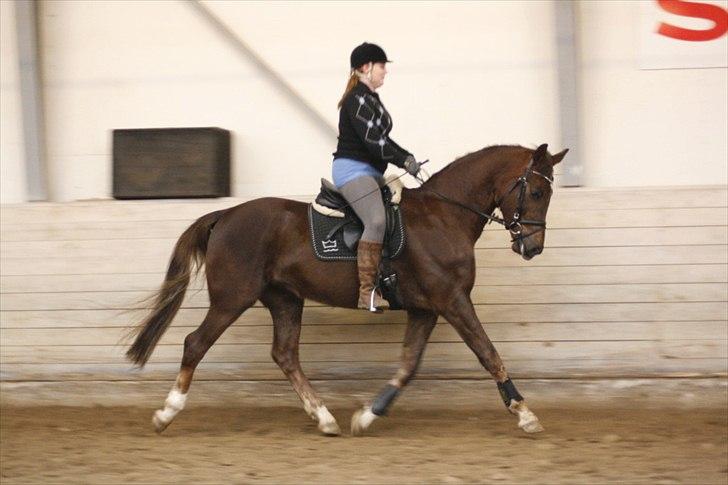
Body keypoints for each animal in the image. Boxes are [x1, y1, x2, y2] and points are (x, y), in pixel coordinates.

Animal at [125, 143, 568, 434]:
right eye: (536, 191)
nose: (533, 247)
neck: (444, 216)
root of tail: (226, 214)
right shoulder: (452, 300)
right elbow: (488, 352)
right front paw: (525, 414)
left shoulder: (426, 308)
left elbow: (408, 366)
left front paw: (367, 415)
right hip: (233, 298)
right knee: (195, 343)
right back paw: (167, 413)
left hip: (285, 299)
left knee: (285, 354)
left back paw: (324, 418)